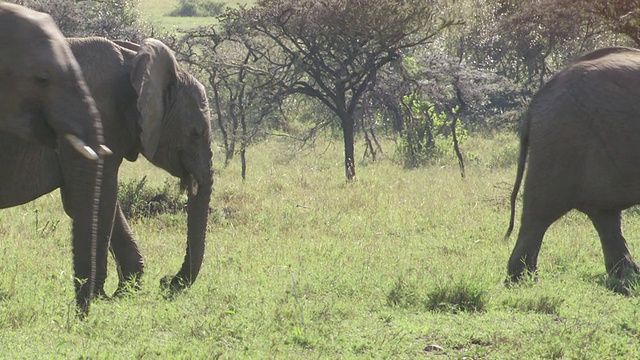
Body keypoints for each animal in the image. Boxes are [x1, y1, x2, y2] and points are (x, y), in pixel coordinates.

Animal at [0, 37, 215, 298]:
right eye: (196, 133)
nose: (167, 282)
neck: (136, 63)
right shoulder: (92, 119)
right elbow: (100, 199)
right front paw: (100, 296)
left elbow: (92, 201)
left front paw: (124, 293)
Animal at [504, 46, 640, 284]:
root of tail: (534, 103)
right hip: (564, 139)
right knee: (541, 211)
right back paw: (524, 281)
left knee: (605, 214)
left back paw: (627, 278)